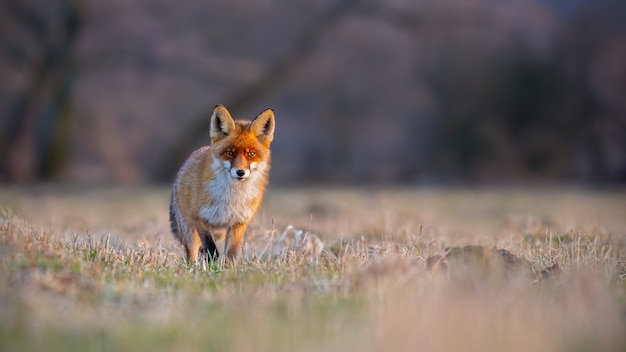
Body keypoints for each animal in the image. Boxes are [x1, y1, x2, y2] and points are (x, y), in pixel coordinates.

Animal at [168, 104, 272, 264]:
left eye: (251, 154)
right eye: (229, 152)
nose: (240, 172)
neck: (231, 197)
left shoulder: (239, 222)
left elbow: (231, 253)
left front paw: (227, 268)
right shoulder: (200, 219)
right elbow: (212, 250)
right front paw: (212, 267)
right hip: (189, 231)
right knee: (191, 253)